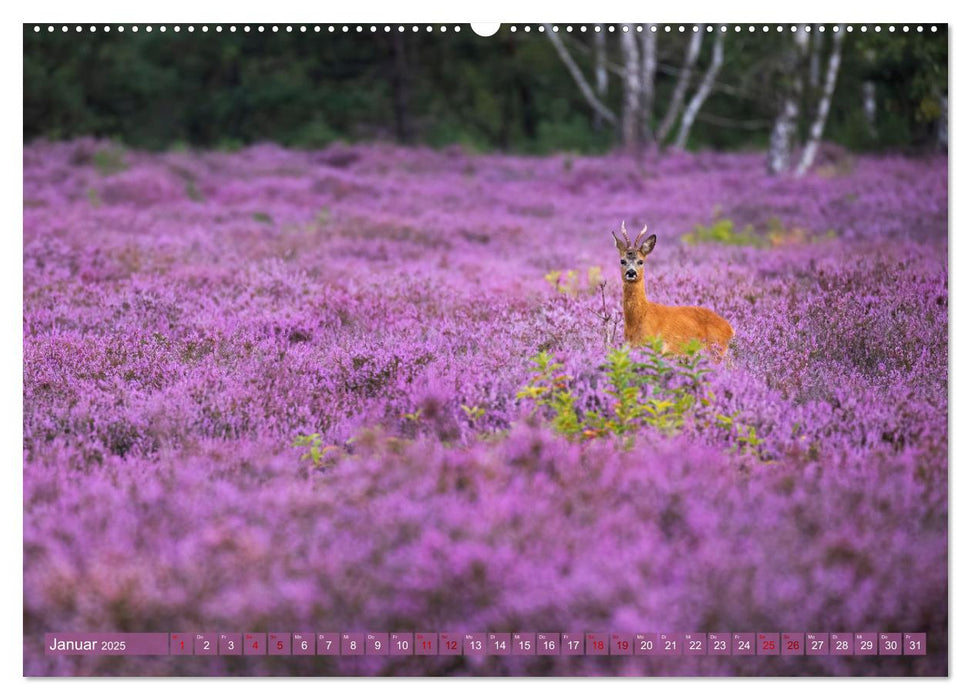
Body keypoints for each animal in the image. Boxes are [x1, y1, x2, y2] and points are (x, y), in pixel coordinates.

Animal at [612, 220, 732, 360]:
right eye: (622, 260)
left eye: (641, 261)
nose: (631, 272)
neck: (638, 318)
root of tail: (730, 329)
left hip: (716, 350)